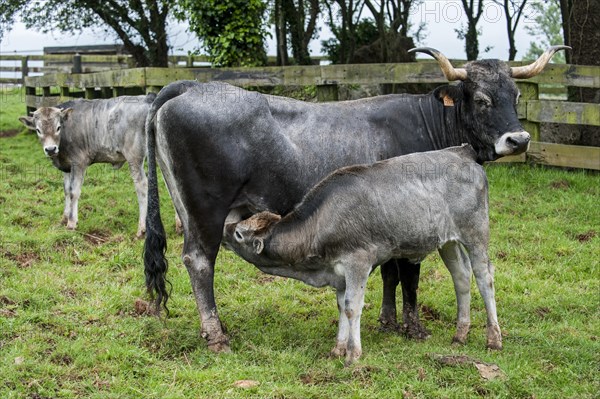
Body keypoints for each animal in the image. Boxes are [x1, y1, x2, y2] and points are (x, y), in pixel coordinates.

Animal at [20, 94, 156, 238]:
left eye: (58, 127)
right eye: (38, 130)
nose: (51, 149)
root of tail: (147, 97)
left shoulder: (79, 162)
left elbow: (74, 192)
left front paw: (71, 223)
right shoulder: (66, 166)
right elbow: (66, 190)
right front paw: (64, 218)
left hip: (134, 157)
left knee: (142, 186)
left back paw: (141, 229)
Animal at [223, 145, 500, 368]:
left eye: (238, 234)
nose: (224, 229)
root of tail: (462, 151)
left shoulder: (358, 262)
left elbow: (351, 307)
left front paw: (352, 354)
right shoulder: (339, 273)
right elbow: (341, 305)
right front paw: (337, 348)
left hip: (476, 233)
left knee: (484, 277)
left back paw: (493, 339)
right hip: (448, 241)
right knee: (461, 277)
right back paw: (460, 335)